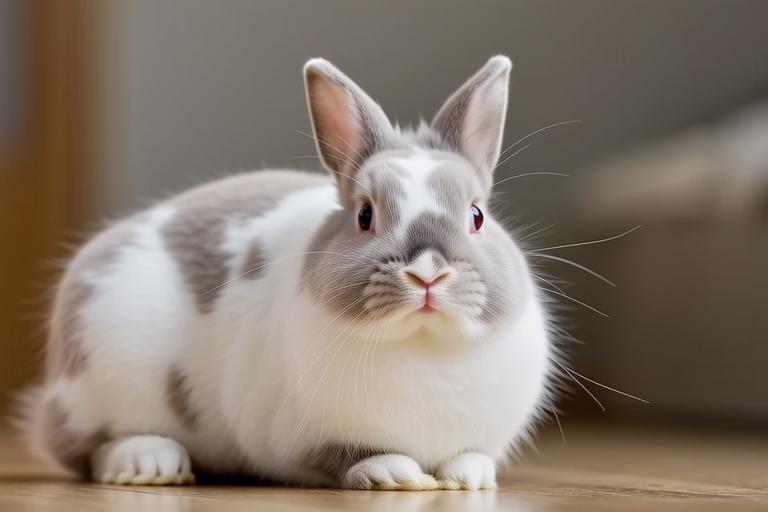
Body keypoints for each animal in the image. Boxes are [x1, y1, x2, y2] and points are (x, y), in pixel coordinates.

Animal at [18, 55, 555, 490]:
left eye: (477, 215)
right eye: (365, 215)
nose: (427, 275)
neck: (422, 344)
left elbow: (470, 456)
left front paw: (470, 478)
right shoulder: (294, 438)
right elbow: (346, 457)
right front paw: (391, 473)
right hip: (100, 381)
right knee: (89, 447)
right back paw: (150, 464)